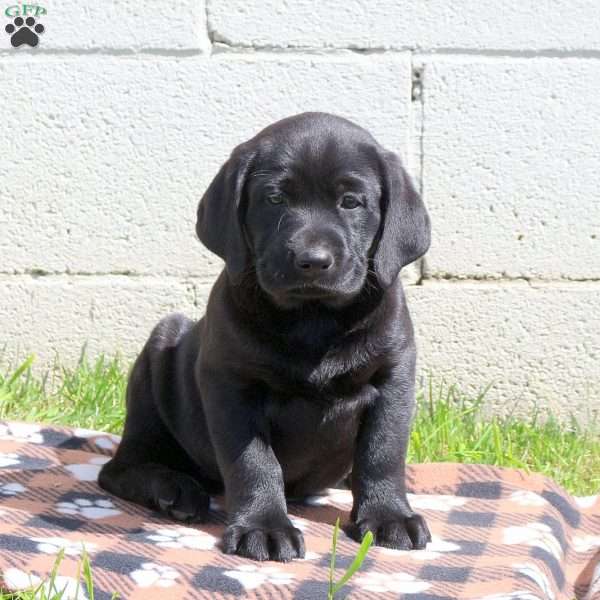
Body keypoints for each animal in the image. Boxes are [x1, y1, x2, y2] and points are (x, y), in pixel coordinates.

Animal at [101, 110, 434, 560]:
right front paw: (264, 527)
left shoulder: (393, 377)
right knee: (121, 468)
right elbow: (254, 461)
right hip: (157, 355)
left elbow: (383, 450)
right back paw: (175, 489)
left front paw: (389, 516)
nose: (313, 261)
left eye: (350, 202)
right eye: (275, 199)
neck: (312, 318)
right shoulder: (232, 385)